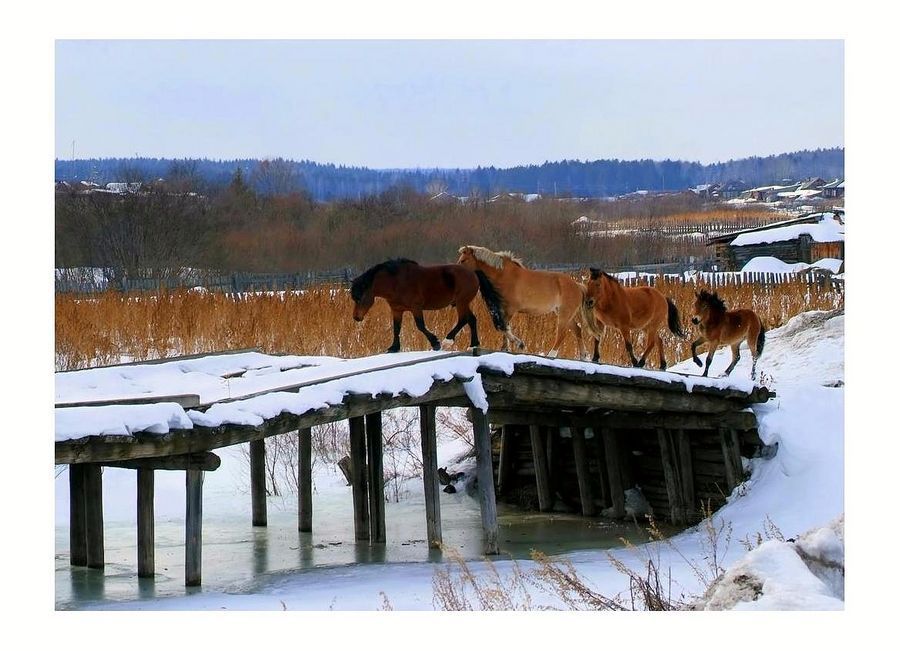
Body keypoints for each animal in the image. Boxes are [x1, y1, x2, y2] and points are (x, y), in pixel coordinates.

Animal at [348, 258, 482, 354]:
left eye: (359, 298)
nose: (356, 317)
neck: (396, 282)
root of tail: (472, 272)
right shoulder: (397, 310)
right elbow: (396, 328)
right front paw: (394, 347)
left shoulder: (416, 308)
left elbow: (420, 326)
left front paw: (435, 343)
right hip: (464, 303)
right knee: (472, 319)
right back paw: (473, 345)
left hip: (461, 302)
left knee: (463, 319)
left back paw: (447, 341)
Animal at [454, 246, 588, 360]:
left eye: (463, 260)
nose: (456, 274)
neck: (503, 275)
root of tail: (578, 286)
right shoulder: (503, 309)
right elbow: (505, 328)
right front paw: (505, 349)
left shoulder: (510, 309)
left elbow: (503, 328)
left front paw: (519, 344)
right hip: (564, 313)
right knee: (577, 329)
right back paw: (583, 356)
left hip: (565, 314)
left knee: (562, 334)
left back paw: (551, 355)